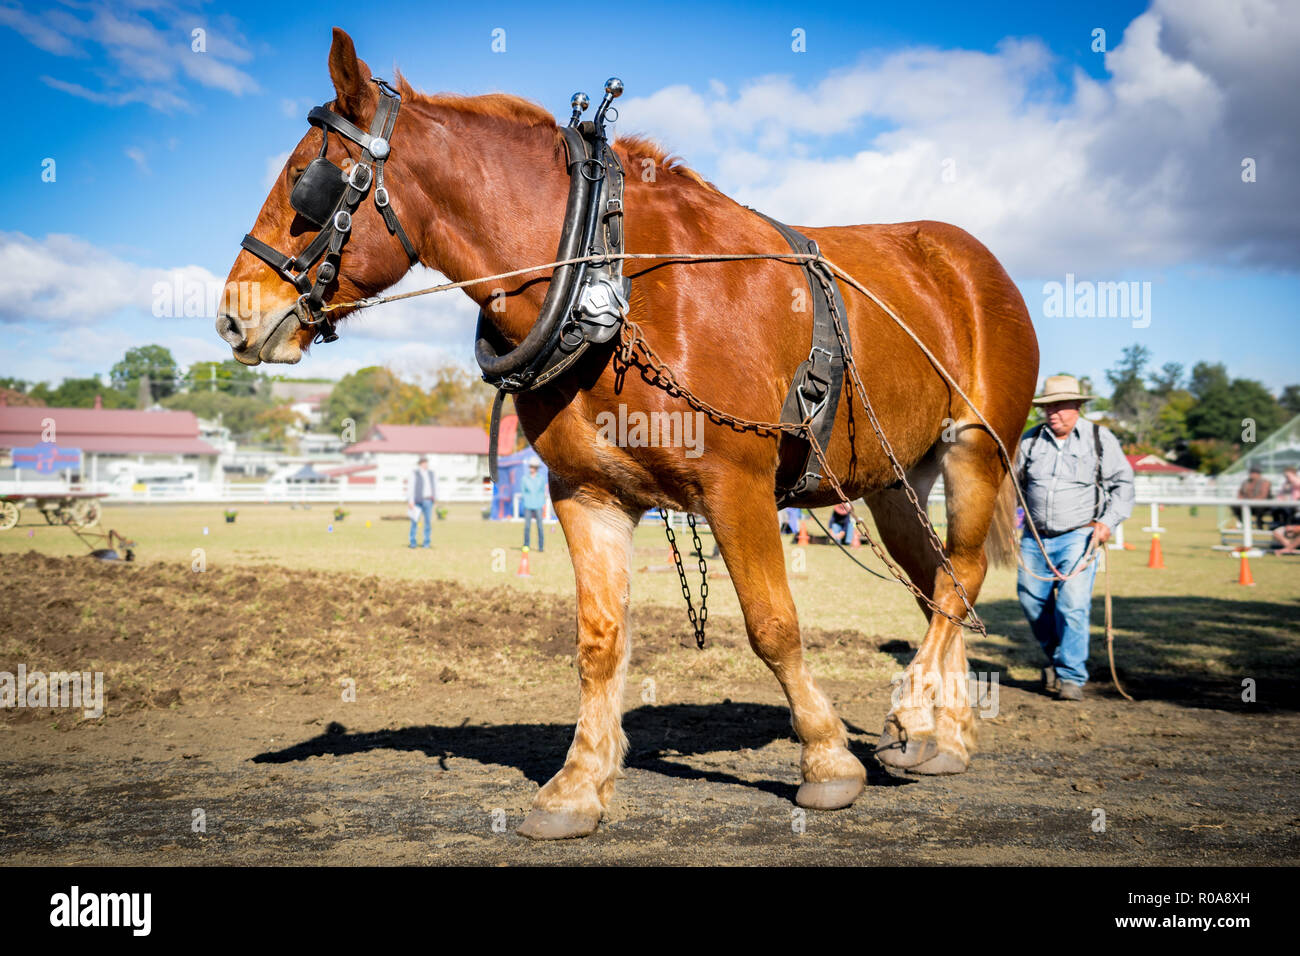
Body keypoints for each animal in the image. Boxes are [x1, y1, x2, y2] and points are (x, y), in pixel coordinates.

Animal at [217, 28, 1039, 839]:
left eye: (305, 179)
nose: (232, 314)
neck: (607, 279)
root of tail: (970, 261)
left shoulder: (737, 487)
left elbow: (773, 626)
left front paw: (828, 760)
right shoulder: (588, 494)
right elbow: (599, 641)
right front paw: (578, 784)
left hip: (974, 448)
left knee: (961, 578)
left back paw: (915, 711)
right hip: (893, 479)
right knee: (937, 586)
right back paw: (943, 732)